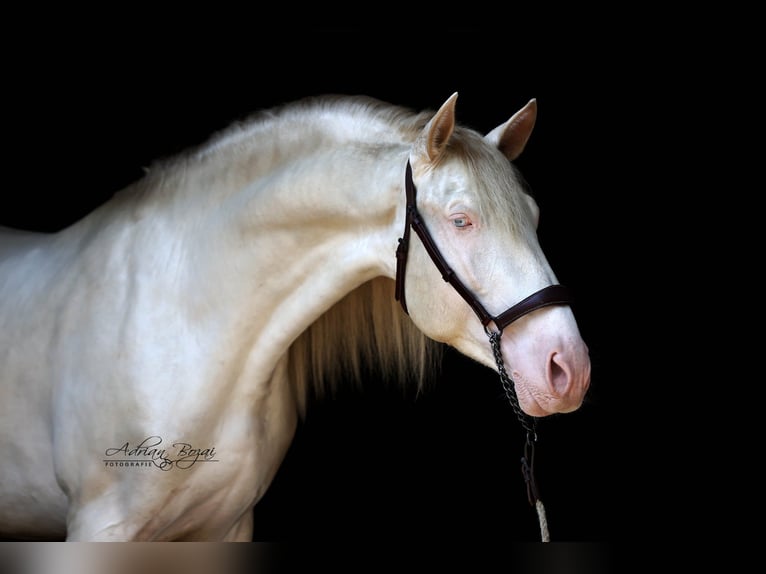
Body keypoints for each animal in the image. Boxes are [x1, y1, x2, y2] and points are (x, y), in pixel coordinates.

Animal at [0, 92, 591, 541]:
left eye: (534, 216)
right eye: (461, 220)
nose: (570, 368)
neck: (181, 322)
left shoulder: (227, 527)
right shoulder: (100, 528)